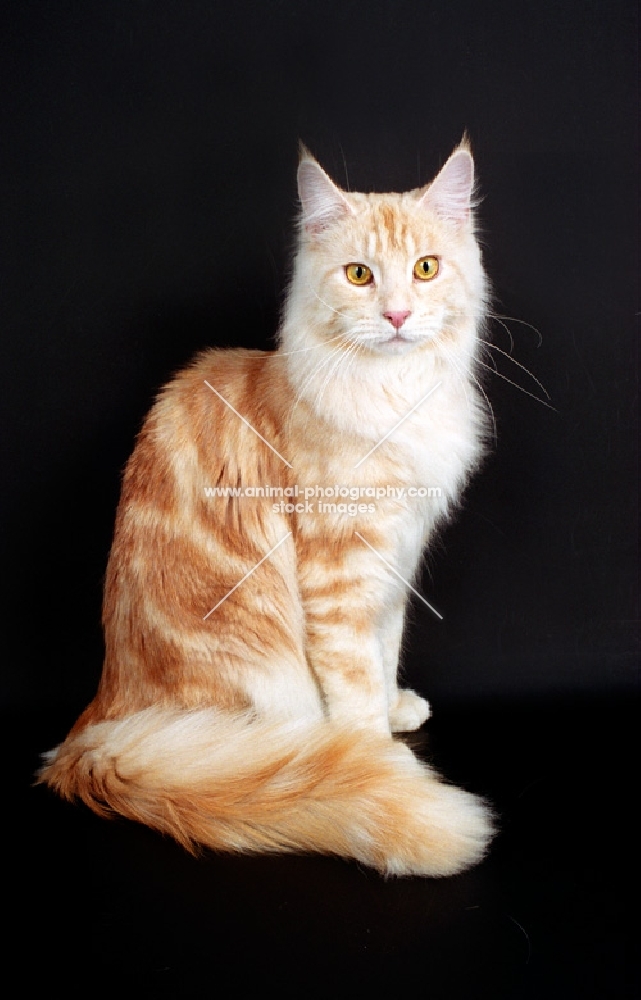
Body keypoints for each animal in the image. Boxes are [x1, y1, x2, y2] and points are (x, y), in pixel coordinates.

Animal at [38, 141, 496, 876]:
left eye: (425, 269)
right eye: (359, 276)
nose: (397, 317)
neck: (394, 396)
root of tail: (96, 731)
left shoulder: (393, 566)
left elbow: (383, 650)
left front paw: (392, 709)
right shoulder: (340, 570)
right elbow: (354, 677)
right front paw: (373, 754)